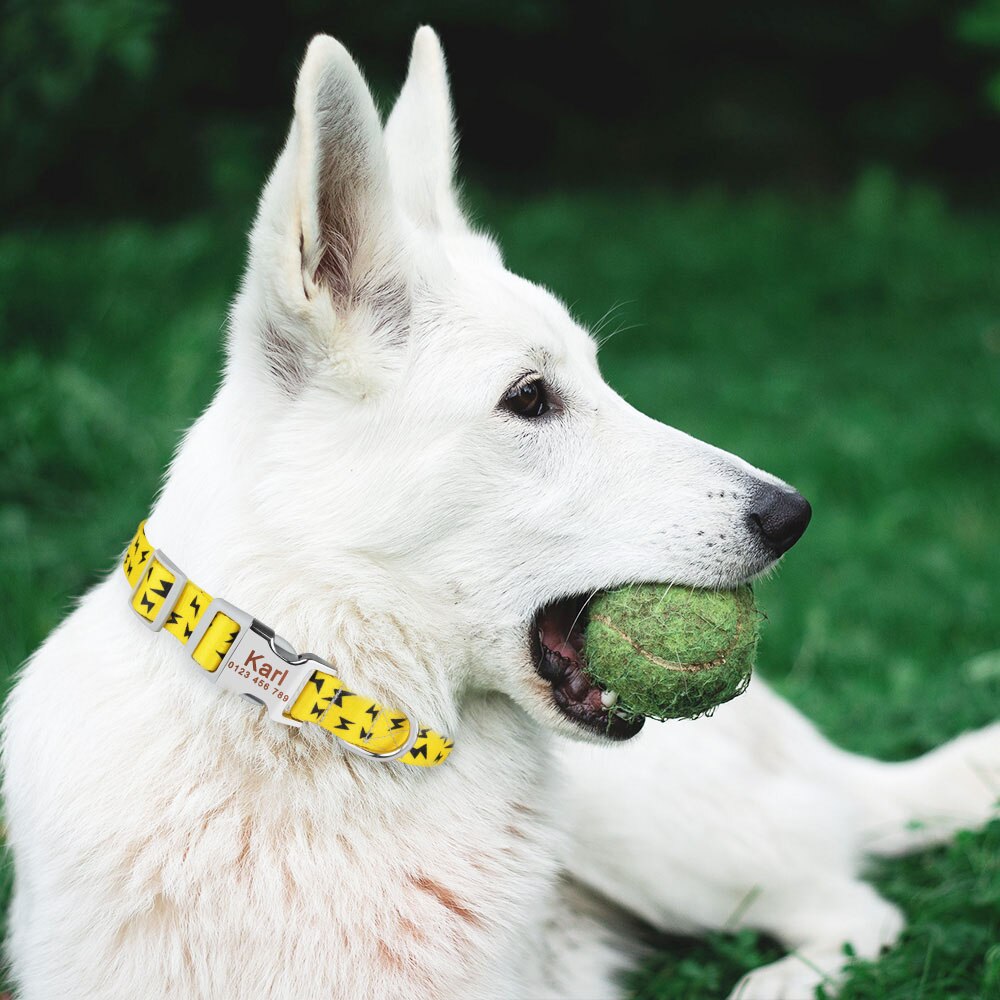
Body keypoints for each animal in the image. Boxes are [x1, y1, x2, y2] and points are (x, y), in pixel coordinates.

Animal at [3, 27, 996, 996]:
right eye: (529, 398)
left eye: (598, 376)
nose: (792, 514)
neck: (314, 714)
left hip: (653, 832)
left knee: (856, 907)